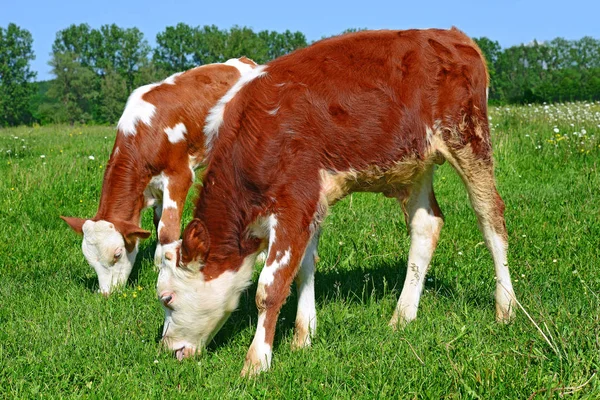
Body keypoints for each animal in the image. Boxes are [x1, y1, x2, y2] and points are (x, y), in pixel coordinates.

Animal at [59, 57, 256, 294]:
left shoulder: (179, 176)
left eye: (117, 254)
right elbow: (156, 222)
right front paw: (157, 264)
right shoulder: (151, 186)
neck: (146, 131)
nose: (107, 294)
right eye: (90, 261)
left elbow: (166, 229)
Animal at [157, 28, 516, 376]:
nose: (168, 350)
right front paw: (303, 337)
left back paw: (507, 308)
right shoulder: (311, 204)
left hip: (469, 139)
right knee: (426, 226)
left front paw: (256, 362)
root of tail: (452, 35)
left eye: (167, 298)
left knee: (491, 219)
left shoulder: (295, 202)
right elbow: (303, 269)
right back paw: (402, 316)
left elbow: (269, 288)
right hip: (417, 161)